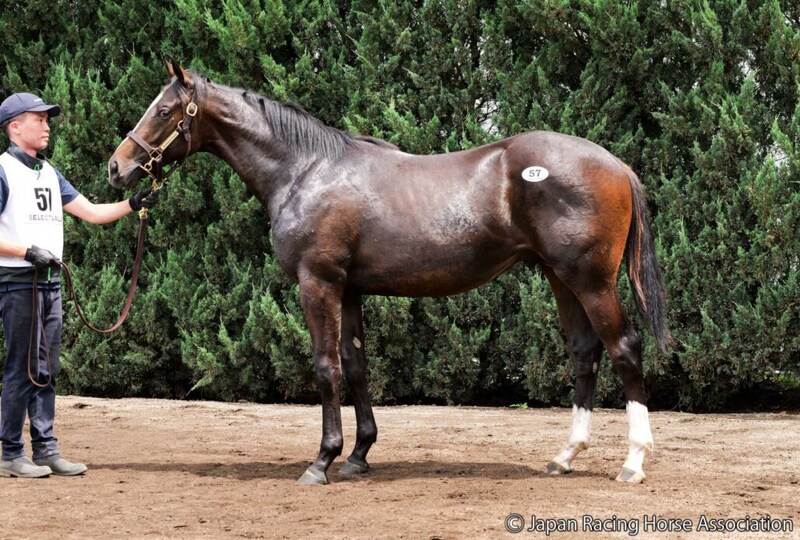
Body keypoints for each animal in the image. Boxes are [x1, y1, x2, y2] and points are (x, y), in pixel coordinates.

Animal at [108, 60, 671, 485]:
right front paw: (358, 456)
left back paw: (633, 463)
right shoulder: (351, 290)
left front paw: (322, 461)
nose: (117, 168)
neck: (305, 170)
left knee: (624, 350)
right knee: (584, 353)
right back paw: (564, 457)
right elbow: (356, 366)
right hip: (560, 278)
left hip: (591, 281)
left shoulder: (319, 283)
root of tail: (617, 165)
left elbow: (326, 368)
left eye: (164, 110)